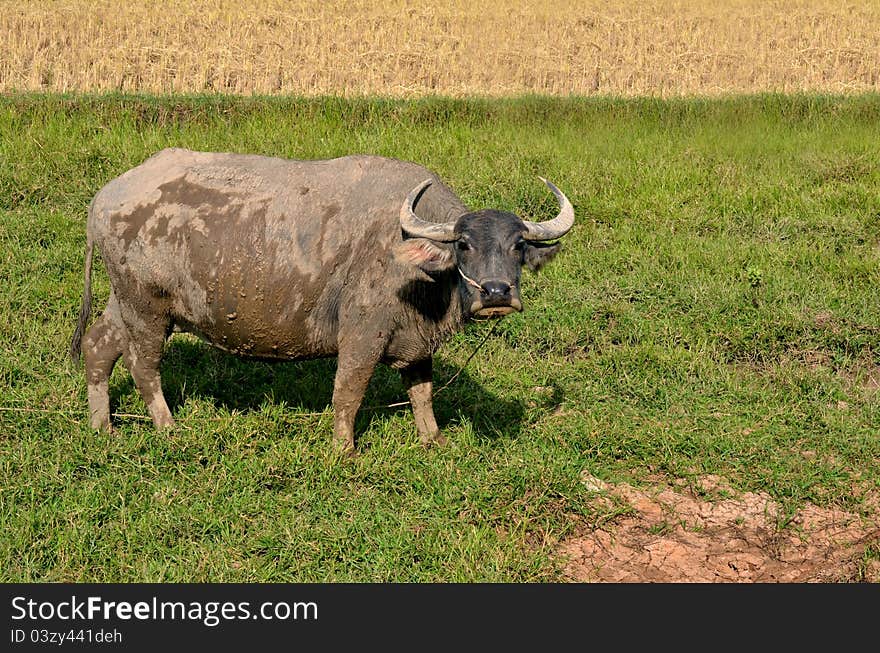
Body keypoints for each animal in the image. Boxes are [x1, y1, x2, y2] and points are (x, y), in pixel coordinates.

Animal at [70, 148, 576, 450]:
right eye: (464, 245)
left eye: (518, 246)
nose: (496, 293)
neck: (415, 265)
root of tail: (104, 199)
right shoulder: (362, 334)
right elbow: (347, 393)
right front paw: (344, 450)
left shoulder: (416, 341)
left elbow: (422, 393)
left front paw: (433, 441)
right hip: (147, 309)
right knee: (143, 366)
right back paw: (168, 426)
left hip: (123, 303)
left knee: (98, 347)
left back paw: (102, 426)